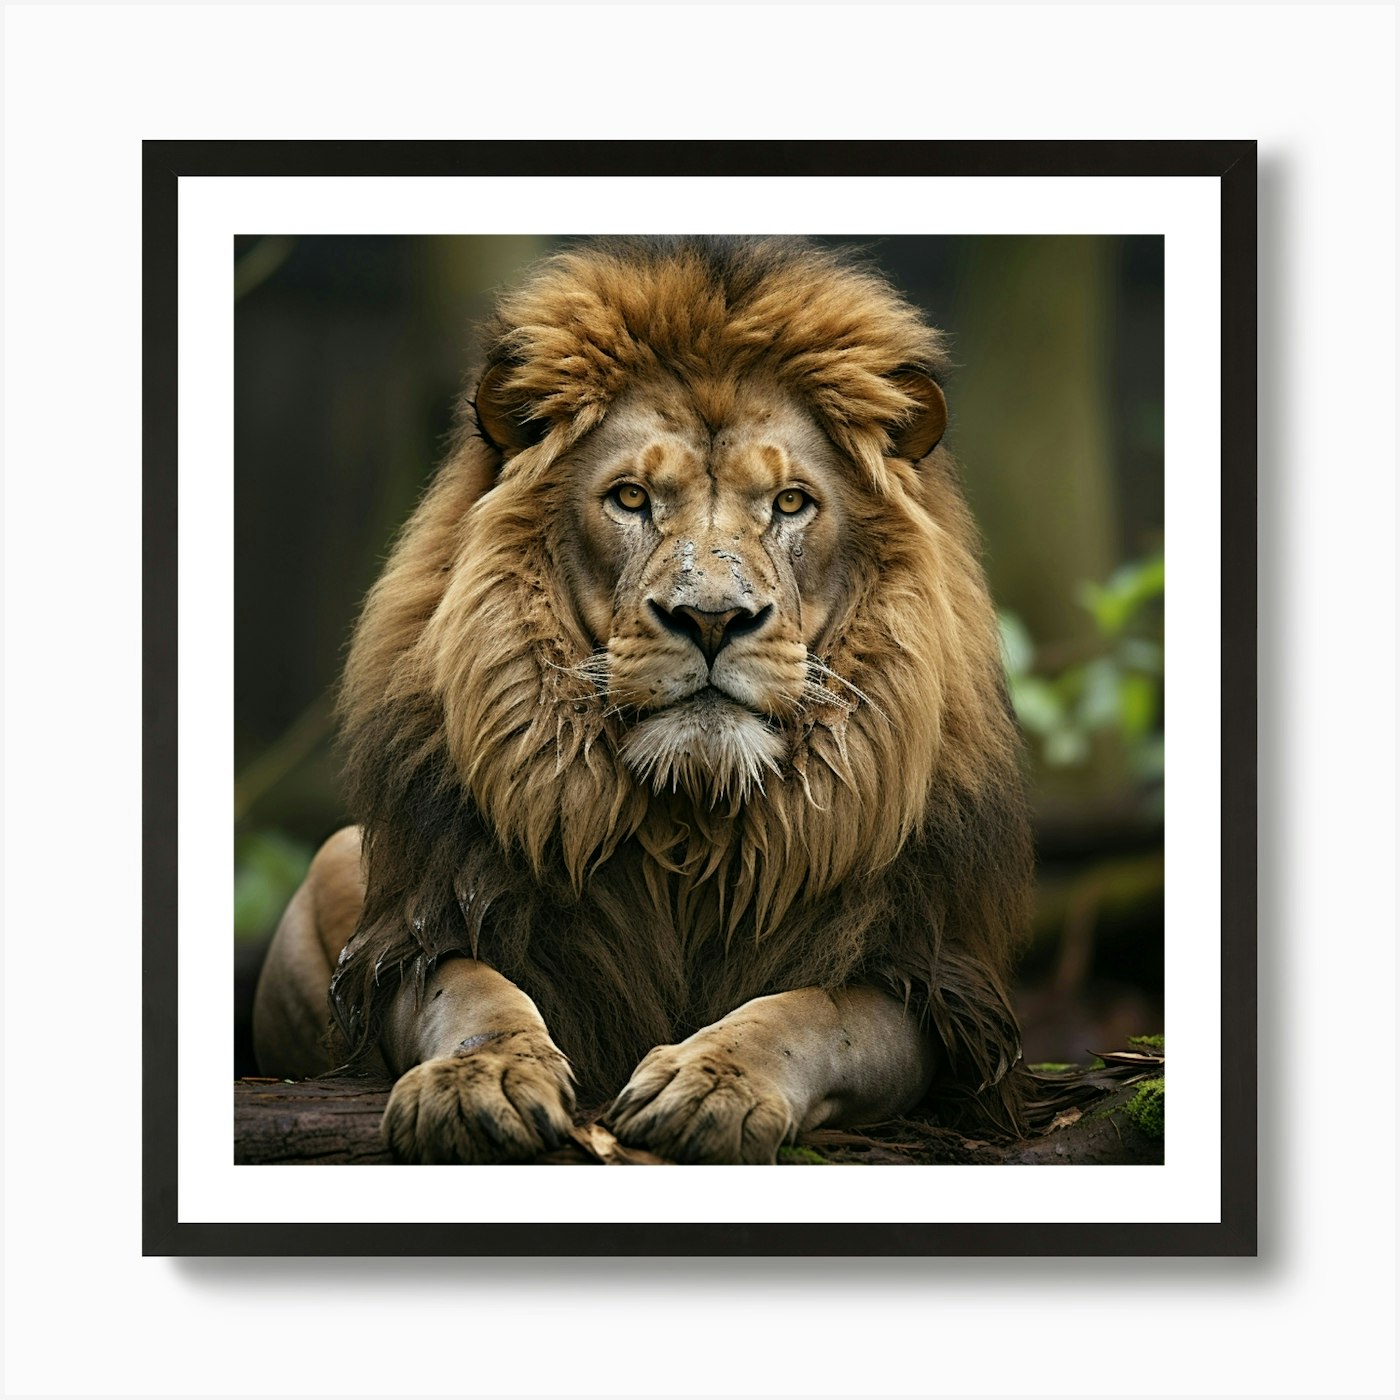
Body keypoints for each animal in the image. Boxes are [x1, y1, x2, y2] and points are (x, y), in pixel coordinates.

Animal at [251, 236, 1033, 1164]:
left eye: (791, 503)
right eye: (630, 498)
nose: (712, 618)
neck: (691, 831)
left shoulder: (929, 984)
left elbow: (813, 1012)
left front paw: (713, 1082)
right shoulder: (414, 933)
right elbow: (473, 990)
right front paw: (483, 1078)